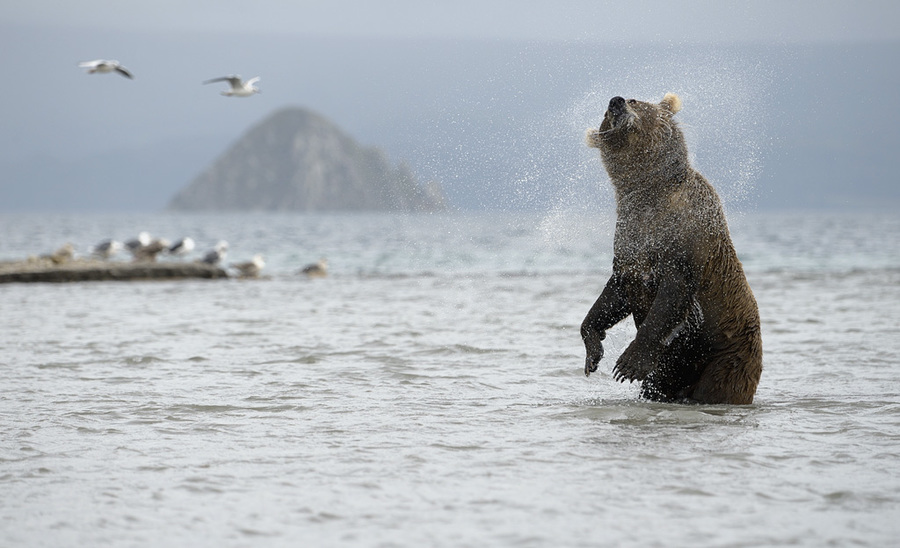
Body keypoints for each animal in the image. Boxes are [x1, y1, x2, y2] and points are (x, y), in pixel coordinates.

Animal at [580, 93, 764, 402]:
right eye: (604, 114)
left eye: (634, 99)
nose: (616, 101)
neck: (650, 192)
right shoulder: (630, 243)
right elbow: (613, 296)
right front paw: (593, 350)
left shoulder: (684, 238)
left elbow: (671, 298)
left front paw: (628, 364)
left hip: (728, 353)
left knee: (720, 384)